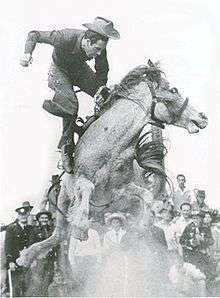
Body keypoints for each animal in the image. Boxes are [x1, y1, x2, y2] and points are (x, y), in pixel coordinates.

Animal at [17, 59, 208, 266]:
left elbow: (147, 196)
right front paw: (80, 227)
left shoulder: (121, 189)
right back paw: (26, 256)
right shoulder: (81, 181)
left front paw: (142, 226)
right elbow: (87, 188)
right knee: (59, 234)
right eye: (173, 90)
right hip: (63, 199)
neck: (112, 145)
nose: (202, 117)